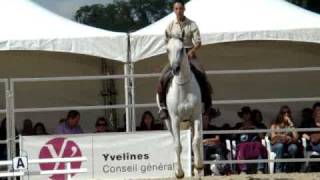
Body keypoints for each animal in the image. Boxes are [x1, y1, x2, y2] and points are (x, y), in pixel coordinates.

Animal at [157, 34, 202, 178]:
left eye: (182, 49)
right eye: (167, 50)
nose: (175, 69)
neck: (183, 87)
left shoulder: (196, 116)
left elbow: (195, 141)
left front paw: (198, 166)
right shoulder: (175, 120)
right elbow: (177, 145)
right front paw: (180, 173)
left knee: (197, 141)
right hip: (168, 122)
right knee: (174, 141)